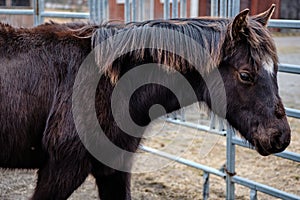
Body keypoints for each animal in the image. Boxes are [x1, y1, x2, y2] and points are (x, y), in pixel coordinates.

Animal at [0, 4, 290, 200]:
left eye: (276, 70)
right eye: (245, 75)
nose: (281, 137)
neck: (109, 84)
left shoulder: (114, 169)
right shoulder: (60, 170)